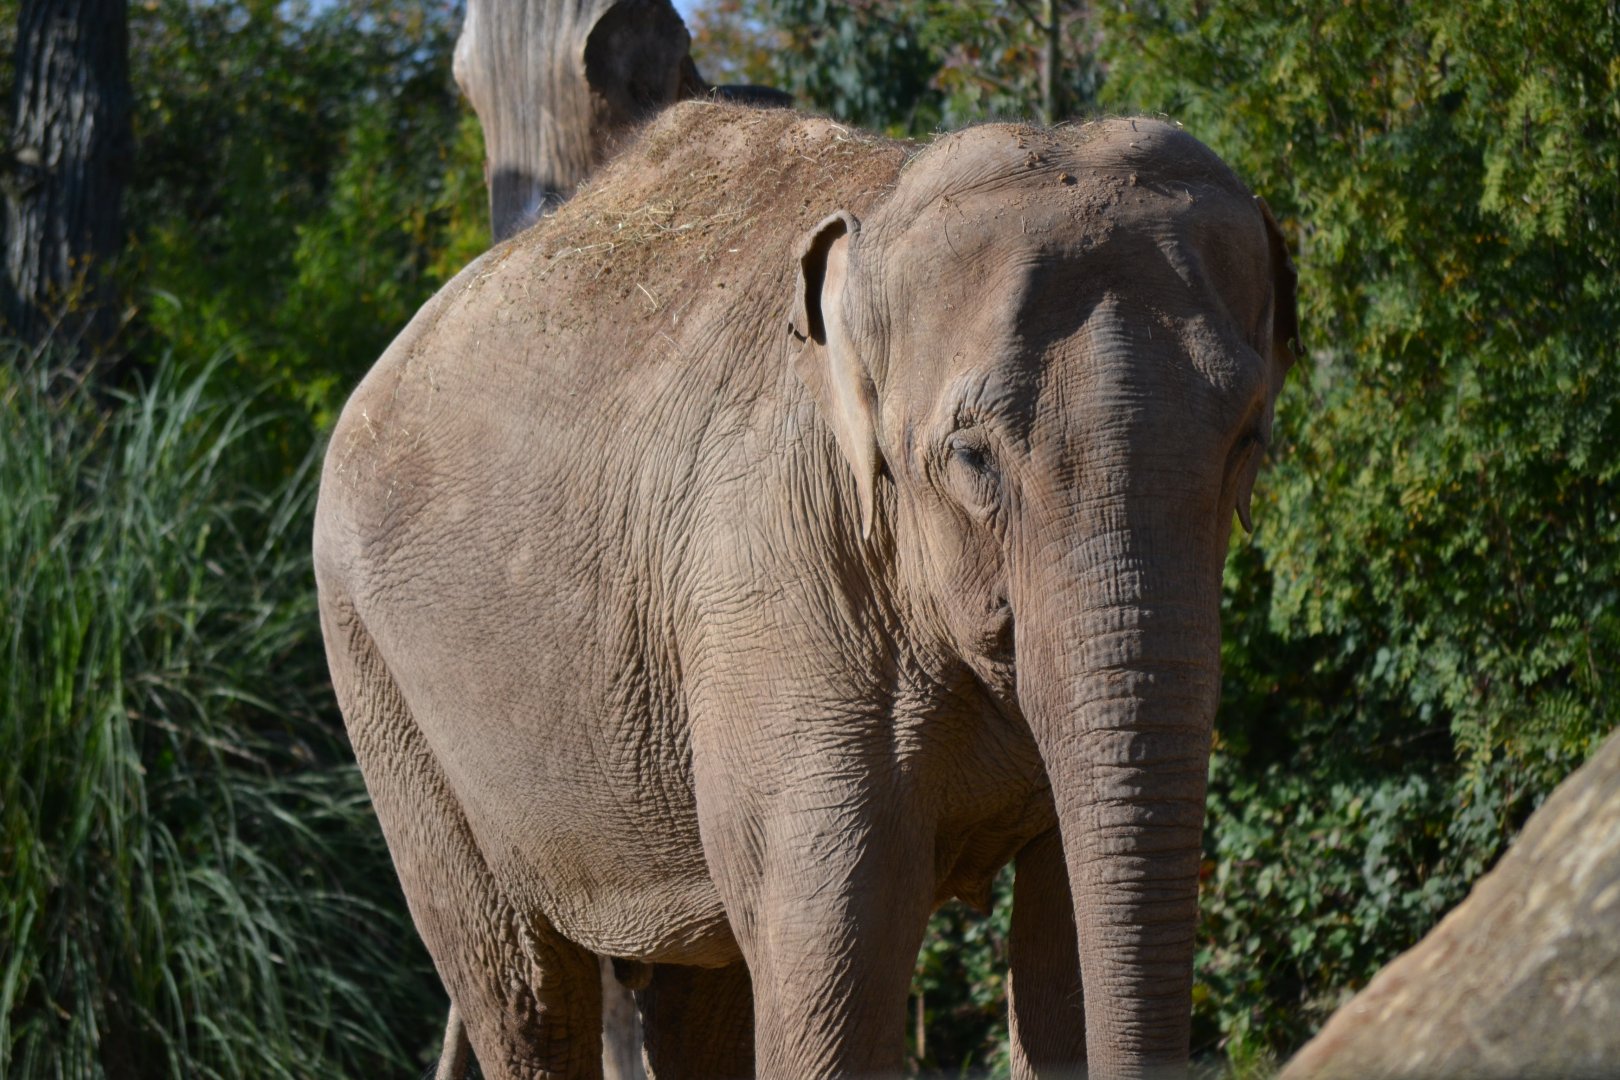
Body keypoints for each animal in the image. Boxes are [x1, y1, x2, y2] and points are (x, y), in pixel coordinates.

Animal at [314, 102, 1297, 1078]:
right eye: (970, 456)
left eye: (1250, 440)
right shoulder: (773, 589)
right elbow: (841, 952)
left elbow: (1061, 941)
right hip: (384, 693)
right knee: (522, 987)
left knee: (696, 992)